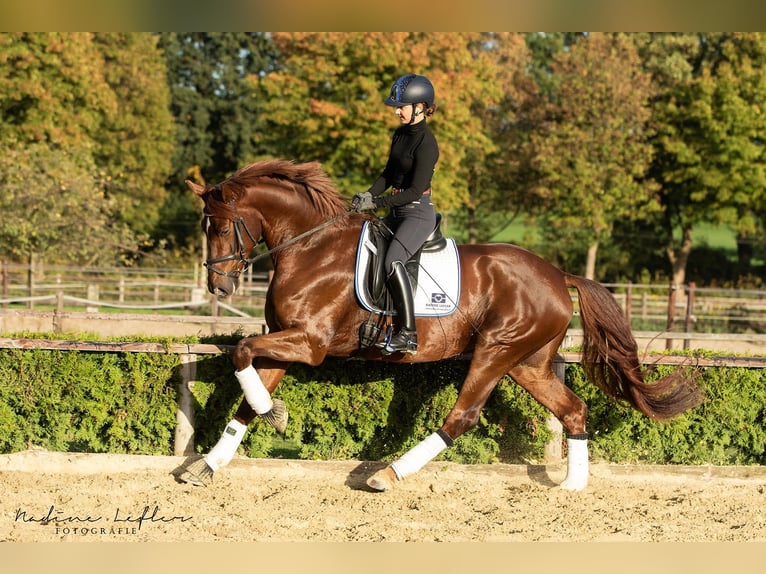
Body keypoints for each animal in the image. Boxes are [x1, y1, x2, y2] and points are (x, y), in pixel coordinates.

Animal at [177, 160, 704, 492]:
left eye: (220, 226)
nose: (219, 286)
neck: (310, 247)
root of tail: (559, 275)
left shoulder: (310, 344)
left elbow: (242, 350)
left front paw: (275, 415)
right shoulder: (286, 341)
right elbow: (248, 391)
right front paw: (211, 461)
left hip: (496, 350)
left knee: (463, 417)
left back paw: (388, 475)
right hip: (527, 362)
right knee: (573, 409)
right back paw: (573, 486)